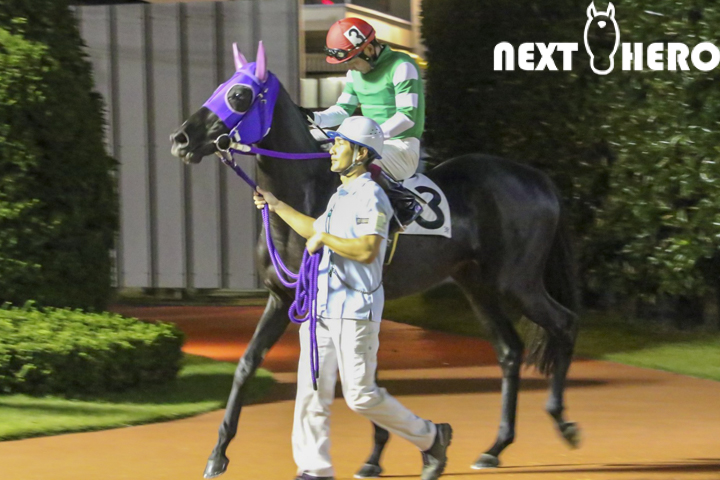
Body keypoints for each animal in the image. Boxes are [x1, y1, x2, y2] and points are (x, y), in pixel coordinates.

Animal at [170, 43, 580, 479]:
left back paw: (562, 421)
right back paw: (496, 446)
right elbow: (249, 364)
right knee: (509, 351)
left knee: (564, 323)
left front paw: (382, 451)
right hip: (477, 286)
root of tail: (539, 178)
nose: (180, 138)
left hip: (516, 282)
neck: (312, 192)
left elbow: (361, 376)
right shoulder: (283, 298)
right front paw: (218, 453)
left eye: (239, 95)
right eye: (219, 87)